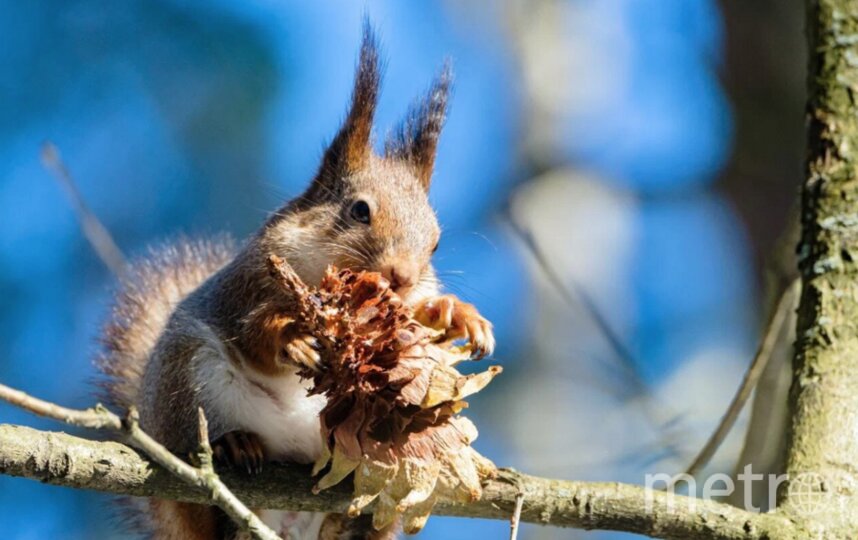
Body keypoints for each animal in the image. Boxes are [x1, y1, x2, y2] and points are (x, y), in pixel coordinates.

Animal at [96, 22, 492, 540]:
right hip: (187, 381)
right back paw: (234, 444)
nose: (402, 276)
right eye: (359, 210)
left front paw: (455, 313)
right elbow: (253, 336)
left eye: (436, 243)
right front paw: (294, 340)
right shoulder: (246, 285)